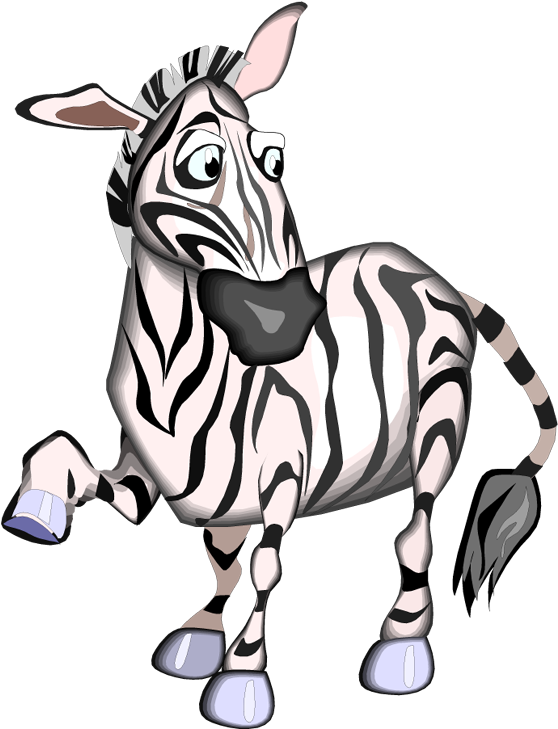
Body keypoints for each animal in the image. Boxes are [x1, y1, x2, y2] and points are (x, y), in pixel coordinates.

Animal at [6, 2, 555, 725]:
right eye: (205, 165)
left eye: (276, 158)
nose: (288, 318)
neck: (173, 365)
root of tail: (433, 274)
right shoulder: (165, 479)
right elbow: (84, 470)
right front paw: (193, 629)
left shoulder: (286, 469)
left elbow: (262, 566)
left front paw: (242, 678)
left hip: (439, 414)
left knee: (417, 528)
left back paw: (403, 644)